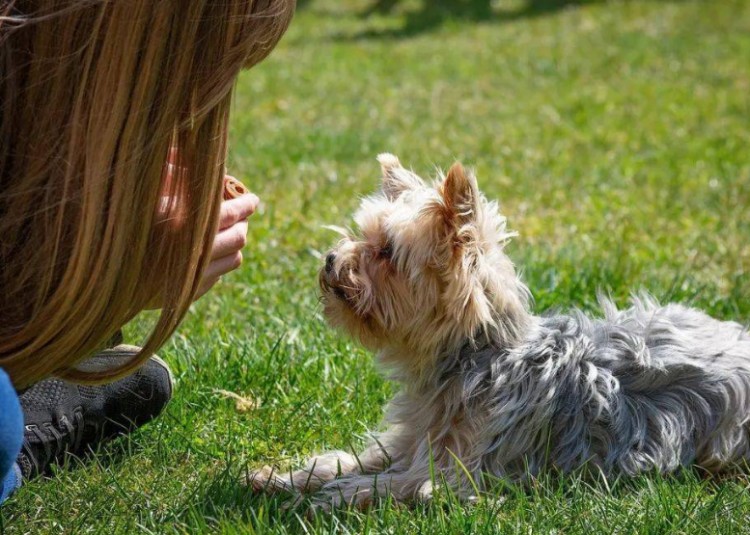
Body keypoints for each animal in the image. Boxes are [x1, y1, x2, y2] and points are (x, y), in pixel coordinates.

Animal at [250, 156, 750, 510]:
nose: (331, 259)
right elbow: (358, 457)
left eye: (387, 251)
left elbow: (403, 482)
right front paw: (283, 477)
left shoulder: (465, 473)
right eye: (361, 234)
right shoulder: (413, 439)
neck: (475, 357)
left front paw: (336, 494)